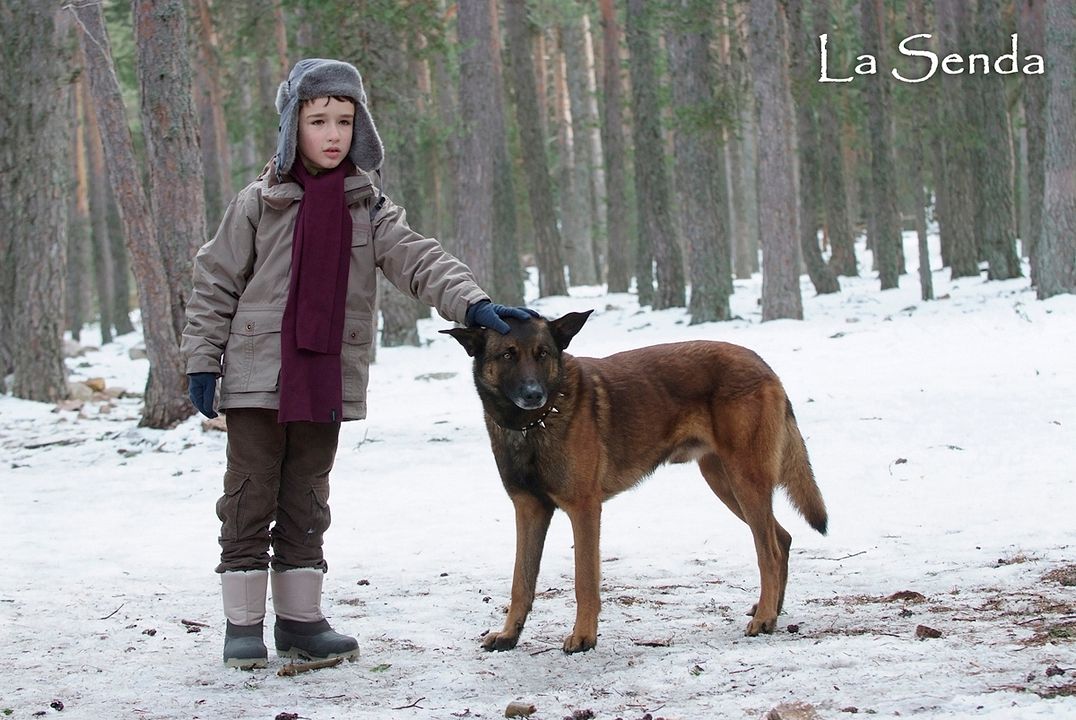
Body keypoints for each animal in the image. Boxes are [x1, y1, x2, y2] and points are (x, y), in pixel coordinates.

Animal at [441, 309, 826, 650]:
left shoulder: (584, 510)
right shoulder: (529, 510)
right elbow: (520, 582)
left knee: (769, 551)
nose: (534, 393)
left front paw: (584, 637)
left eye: (543, 354)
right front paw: (509, 635)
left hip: (745, 480)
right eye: (507, 354)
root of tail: (763, 364)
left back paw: (764, 618)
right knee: (783, 539)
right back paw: (772, 610)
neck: (533, 424)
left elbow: (584, 580)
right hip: (725, 482)